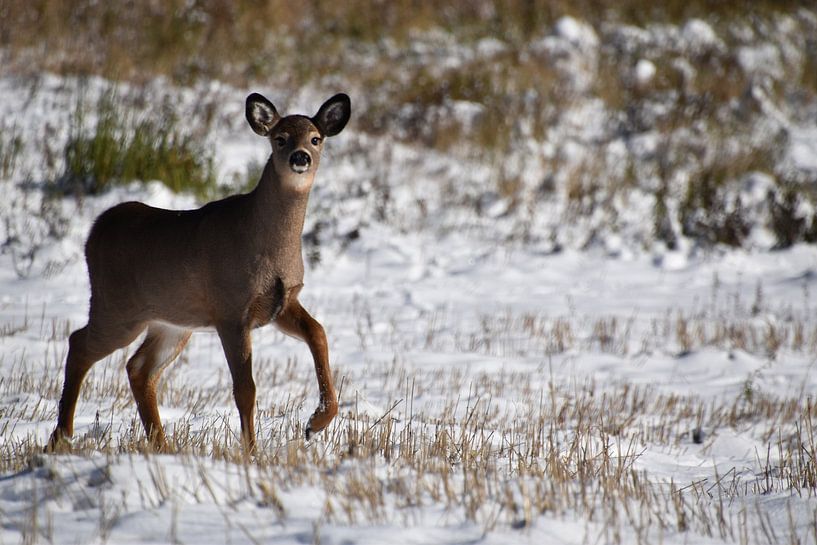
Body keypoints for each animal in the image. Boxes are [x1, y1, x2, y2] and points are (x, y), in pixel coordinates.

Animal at [46, 92, 351, 453]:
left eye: (316, 138)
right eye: (280, 138)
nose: (300, 157)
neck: (264, 241)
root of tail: (95, 229)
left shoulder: (281, 303)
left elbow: (318, 332)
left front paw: (316, 423)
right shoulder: (230, 309)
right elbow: (245, 388)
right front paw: (252, 453)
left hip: (172, 322)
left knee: (138, 367)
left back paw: (161, 446)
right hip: (117, 309)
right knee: (79, 343)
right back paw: (61, 437)